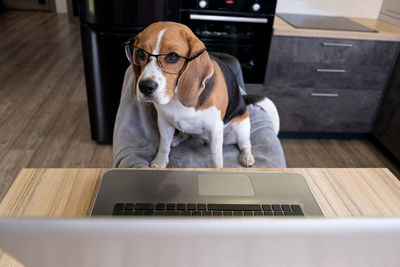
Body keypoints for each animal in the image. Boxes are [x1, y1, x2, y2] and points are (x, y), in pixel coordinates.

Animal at [128, 21, 272, 168]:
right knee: (185, 135)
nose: (145, 87)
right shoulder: (164, 121)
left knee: (245, 143)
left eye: (173, 56)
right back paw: (176, 139)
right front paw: (160, 162)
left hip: (241, 128)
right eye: (140, 53)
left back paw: (247, 157)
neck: (176, 98)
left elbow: (216, 158)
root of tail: (242, 100)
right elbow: (164, 145)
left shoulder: (215, 129)